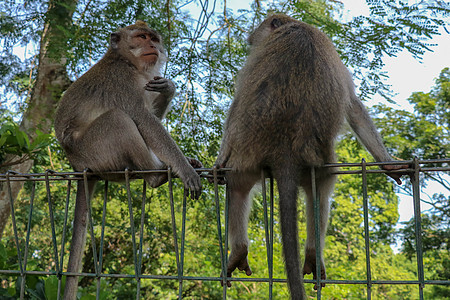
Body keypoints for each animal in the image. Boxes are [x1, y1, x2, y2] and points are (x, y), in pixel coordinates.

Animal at [53, 21, 201, 300]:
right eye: (142, 37)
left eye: (154, 38)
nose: (153, 45)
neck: (127, 61)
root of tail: (78, 167)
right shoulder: (122, 80)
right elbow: (143, 119)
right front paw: (186, 170)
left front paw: (169, 87)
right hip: (94, 150)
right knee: (118, 119)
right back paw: (156, 175)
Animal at [214, 14, 408, 300]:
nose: (250, 38)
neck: (296, 25)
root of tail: (285, 149)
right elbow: (354, 106)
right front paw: (387, 161)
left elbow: (237, 104)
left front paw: (219, 159)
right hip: (316, 164)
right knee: (319, 195)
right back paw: (313, 255)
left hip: (246, 157)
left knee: (236, 185)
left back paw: (238, 250)